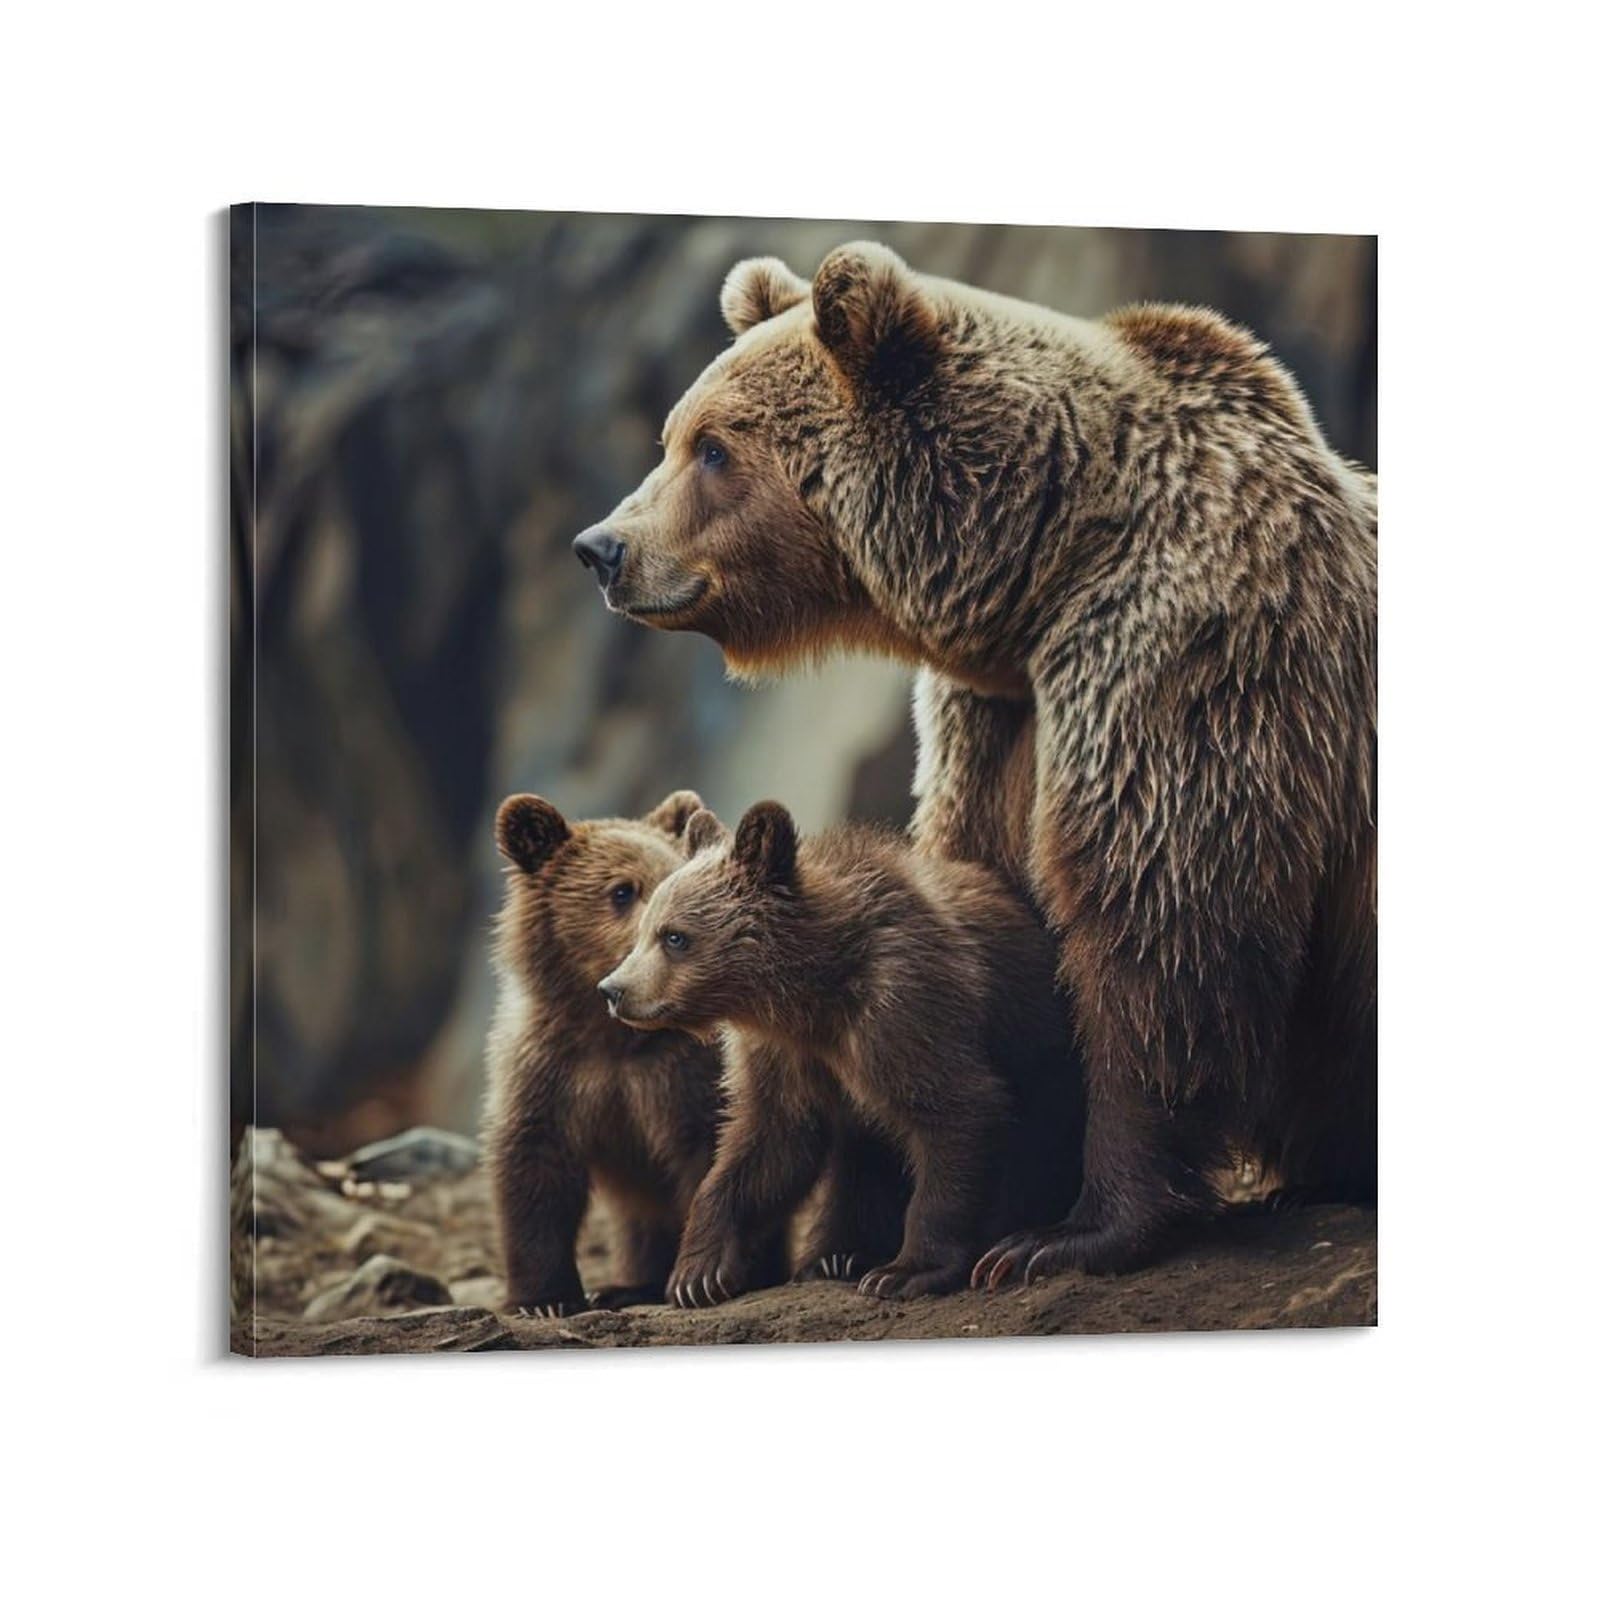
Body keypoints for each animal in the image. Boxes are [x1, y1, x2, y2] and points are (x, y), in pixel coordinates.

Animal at [597, 801, 1085, 1303]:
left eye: (674, 937)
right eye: (645, 932)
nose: (613, 990)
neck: (814, 994)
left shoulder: (906, 1008)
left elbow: (958, 1112)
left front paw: (905, 1270)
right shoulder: (784, 1055)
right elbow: (770, 1144)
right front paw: (698, 1273)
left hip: (1049, 1068)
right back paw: (836, 1256)